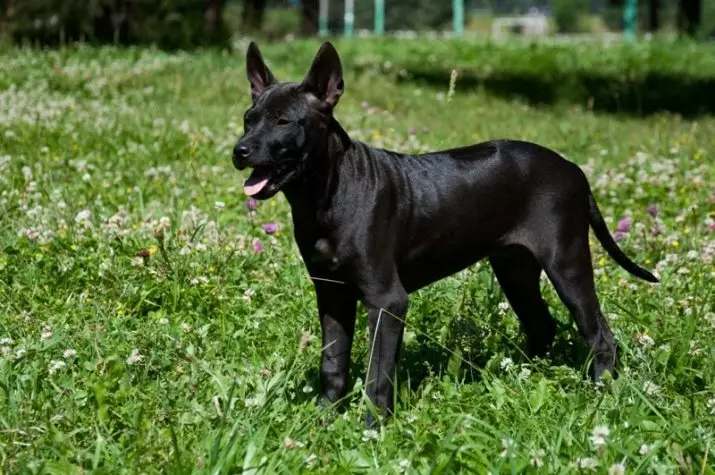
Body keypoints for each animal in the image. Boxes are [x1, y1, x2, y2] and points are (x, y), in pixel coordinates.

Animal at [235, 41, 660, 428]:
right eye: (248, 119)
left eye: (283, 121)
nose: (240, 150)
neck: (327, 193)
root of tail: (575, 170)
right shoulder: (331, 292)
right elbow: (333, 361)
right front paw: (322, 420)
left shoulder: (386, 299)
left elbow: (377, 373)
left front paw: (372, 428)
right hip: (515, 268)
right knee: (542, 325)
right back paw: (522, 379)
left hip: (567, 262)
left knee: (600, 335)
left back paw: (601, 393)